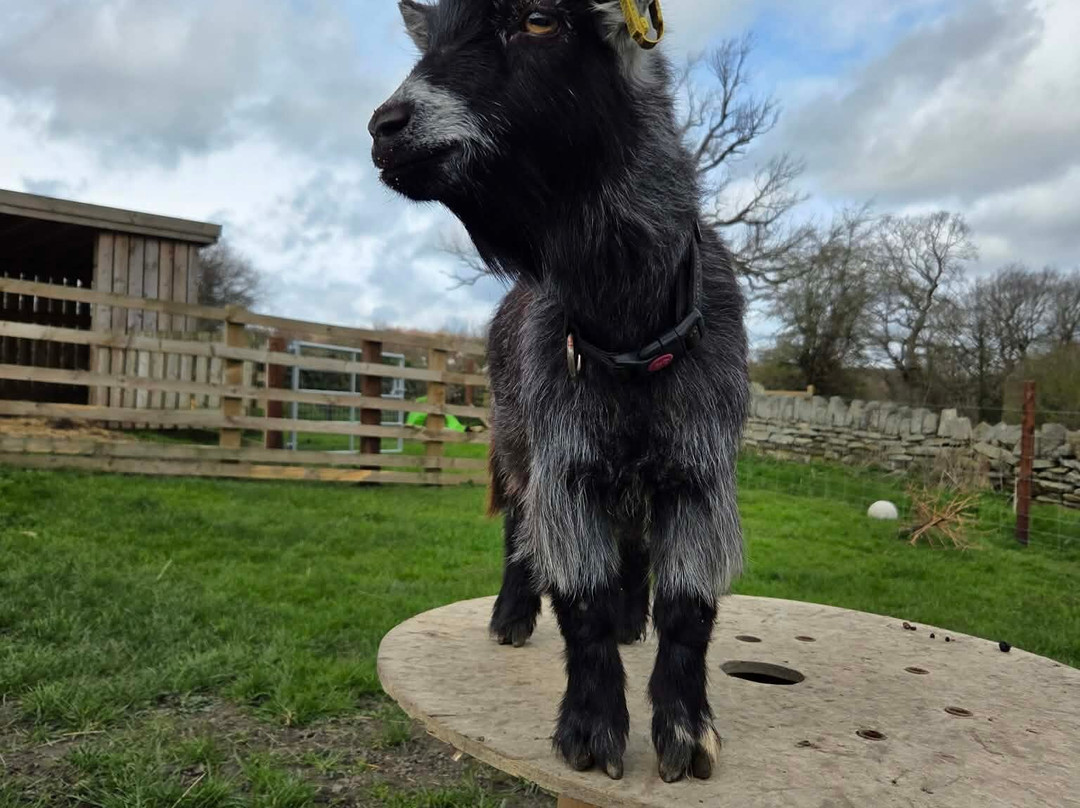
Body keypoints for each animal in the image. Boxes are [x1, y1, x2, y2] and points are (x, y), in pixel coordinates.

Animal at [369, 0, 748, 783]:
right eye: (432, 37)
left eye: (540, 20)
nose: (386, 126)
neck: (630, 336)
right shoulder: (563, 462)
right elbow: (581, 600)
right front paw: (591, 733)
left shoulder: (702, 471)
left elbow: (689, 609)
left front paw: (688, 736)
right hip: (518, 442)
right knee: (521, 533)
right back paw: (512, 618)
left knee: (631, 542)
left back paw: (634, 618)